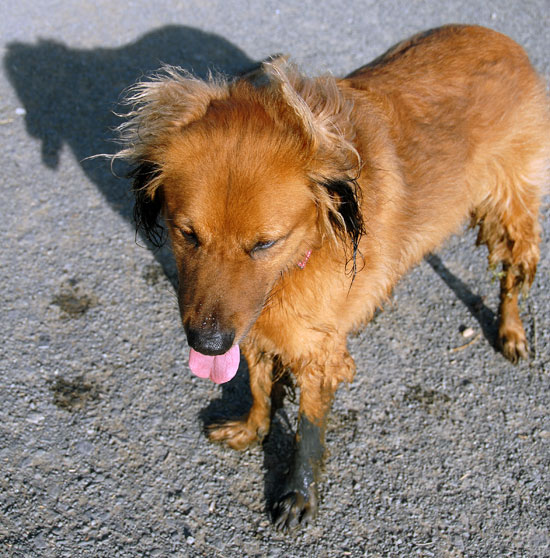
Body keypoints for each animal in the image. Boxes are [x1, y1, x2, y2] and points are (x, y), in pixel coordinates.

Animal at [113, 26, 550, 532]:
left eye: (265, 243)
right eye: (188, 234)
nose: (208, 344)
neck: (309, 246)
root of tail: (501, 39)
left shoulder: (315, 351)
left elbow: (309, 429)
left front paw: (299, 494)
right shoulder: (258, 325)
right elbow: (259, 381)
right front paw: (254, 426)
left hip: (511, 210)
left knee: (513, 276)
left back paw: (511, 330)